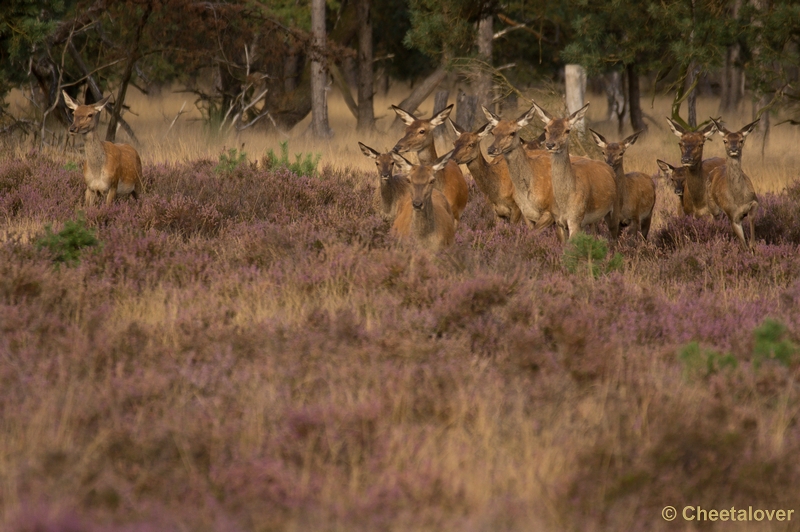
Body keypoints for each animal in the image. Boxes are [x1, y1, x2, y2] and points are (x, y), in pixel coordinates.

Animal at [532, 102, 620, 243]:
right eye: (545, 129)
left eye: (567, 130)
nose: (550, 145)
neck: (564, 203)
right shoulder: (558, 221)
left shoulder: (575, 219)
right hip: (592, 220)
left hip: (614, 209)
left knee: (615, 236)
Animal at [708, 117, 764, 250]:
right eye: (725, 141)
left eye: (741, 140)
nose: (733, 149)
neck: (738, 198)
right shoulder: (732, 216)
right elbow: (743, 245)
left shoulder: (755, 201)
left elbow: (751, 220)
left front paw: (753, 247)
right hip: (713, 207)